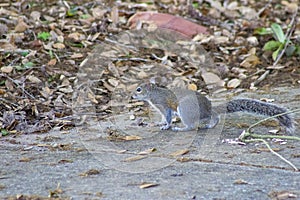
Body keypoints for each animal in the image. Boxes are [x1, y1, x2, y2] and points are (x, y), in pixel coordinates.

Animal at [132, 82, 296, 134]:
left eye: (139, 89)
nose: (132, 96)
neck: (154, 93)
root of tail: (209, 109)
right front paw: (160, 123)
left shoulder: (163, 105)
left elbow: (167, 116)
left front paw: (166, 126)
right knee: (214, 117)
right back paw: (211, 125)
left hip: (185, 109)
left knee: (192, 126)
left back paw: (182, 128)